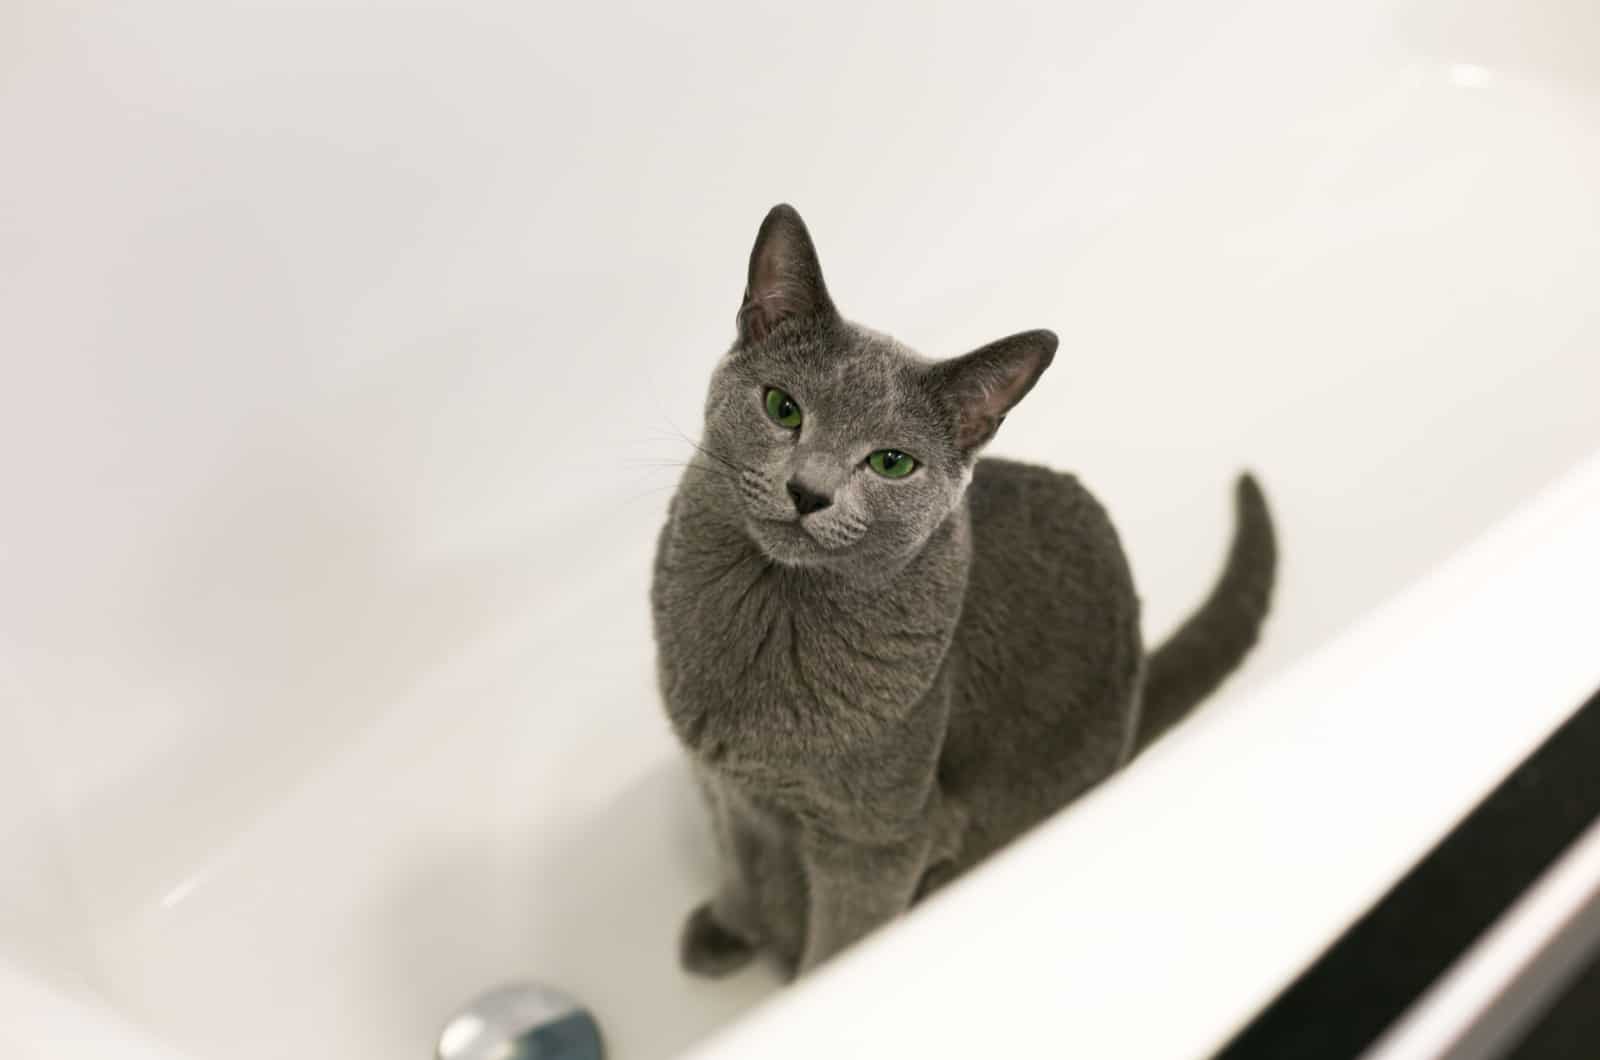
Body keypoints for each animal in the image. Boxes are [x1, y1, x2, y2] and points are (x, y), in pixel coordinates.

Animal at [649, 203, 1273, 986]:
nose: (808, 490)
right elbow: (736, 861)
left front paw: (804, 990)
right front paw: (730, 928)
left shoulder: (877, 840)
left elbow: (840, 947)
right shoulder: (720, 780)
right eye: (782, 408)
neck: (769, 615)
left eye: (891, 463)